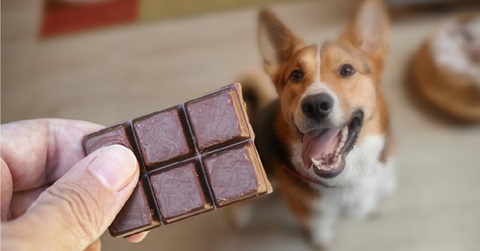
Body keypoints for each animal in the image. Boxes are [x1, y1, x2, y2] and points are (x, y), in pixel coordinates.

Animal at [236, 0, 398, 248]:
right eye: (296, 75)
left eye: (347, 70)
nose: (314, 105)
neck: (348, 177)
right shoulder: (310, 213)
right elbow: (320, 229)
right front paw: (324, 243)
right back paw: (239, 216)